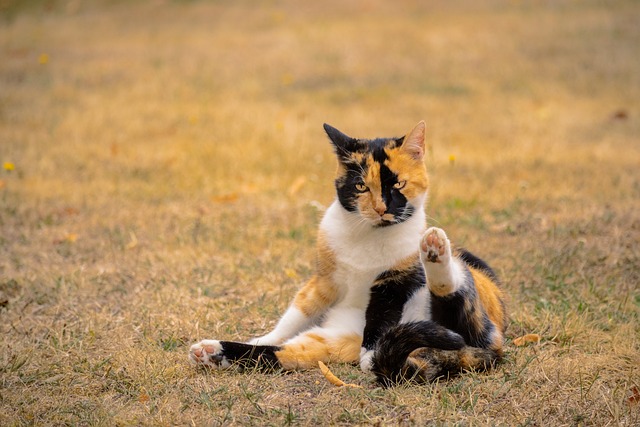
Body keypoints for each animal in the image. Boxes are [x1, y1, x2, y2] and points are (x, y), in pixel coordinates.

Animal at [188, 121, 508, 384]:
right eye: (361, 185)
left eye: (399, 184)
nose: (381, 208)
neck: (368, 234)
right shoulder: (324, 281)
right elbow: (294, 316)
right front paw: (260, 337)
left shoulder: (394, 282)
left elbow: (379, 320)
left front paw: (370, 356)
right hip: (330, 337)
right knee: (281, 353)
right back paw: (212, 352)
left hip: (469, 317)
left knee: (457, 309)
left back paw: (435, 249)